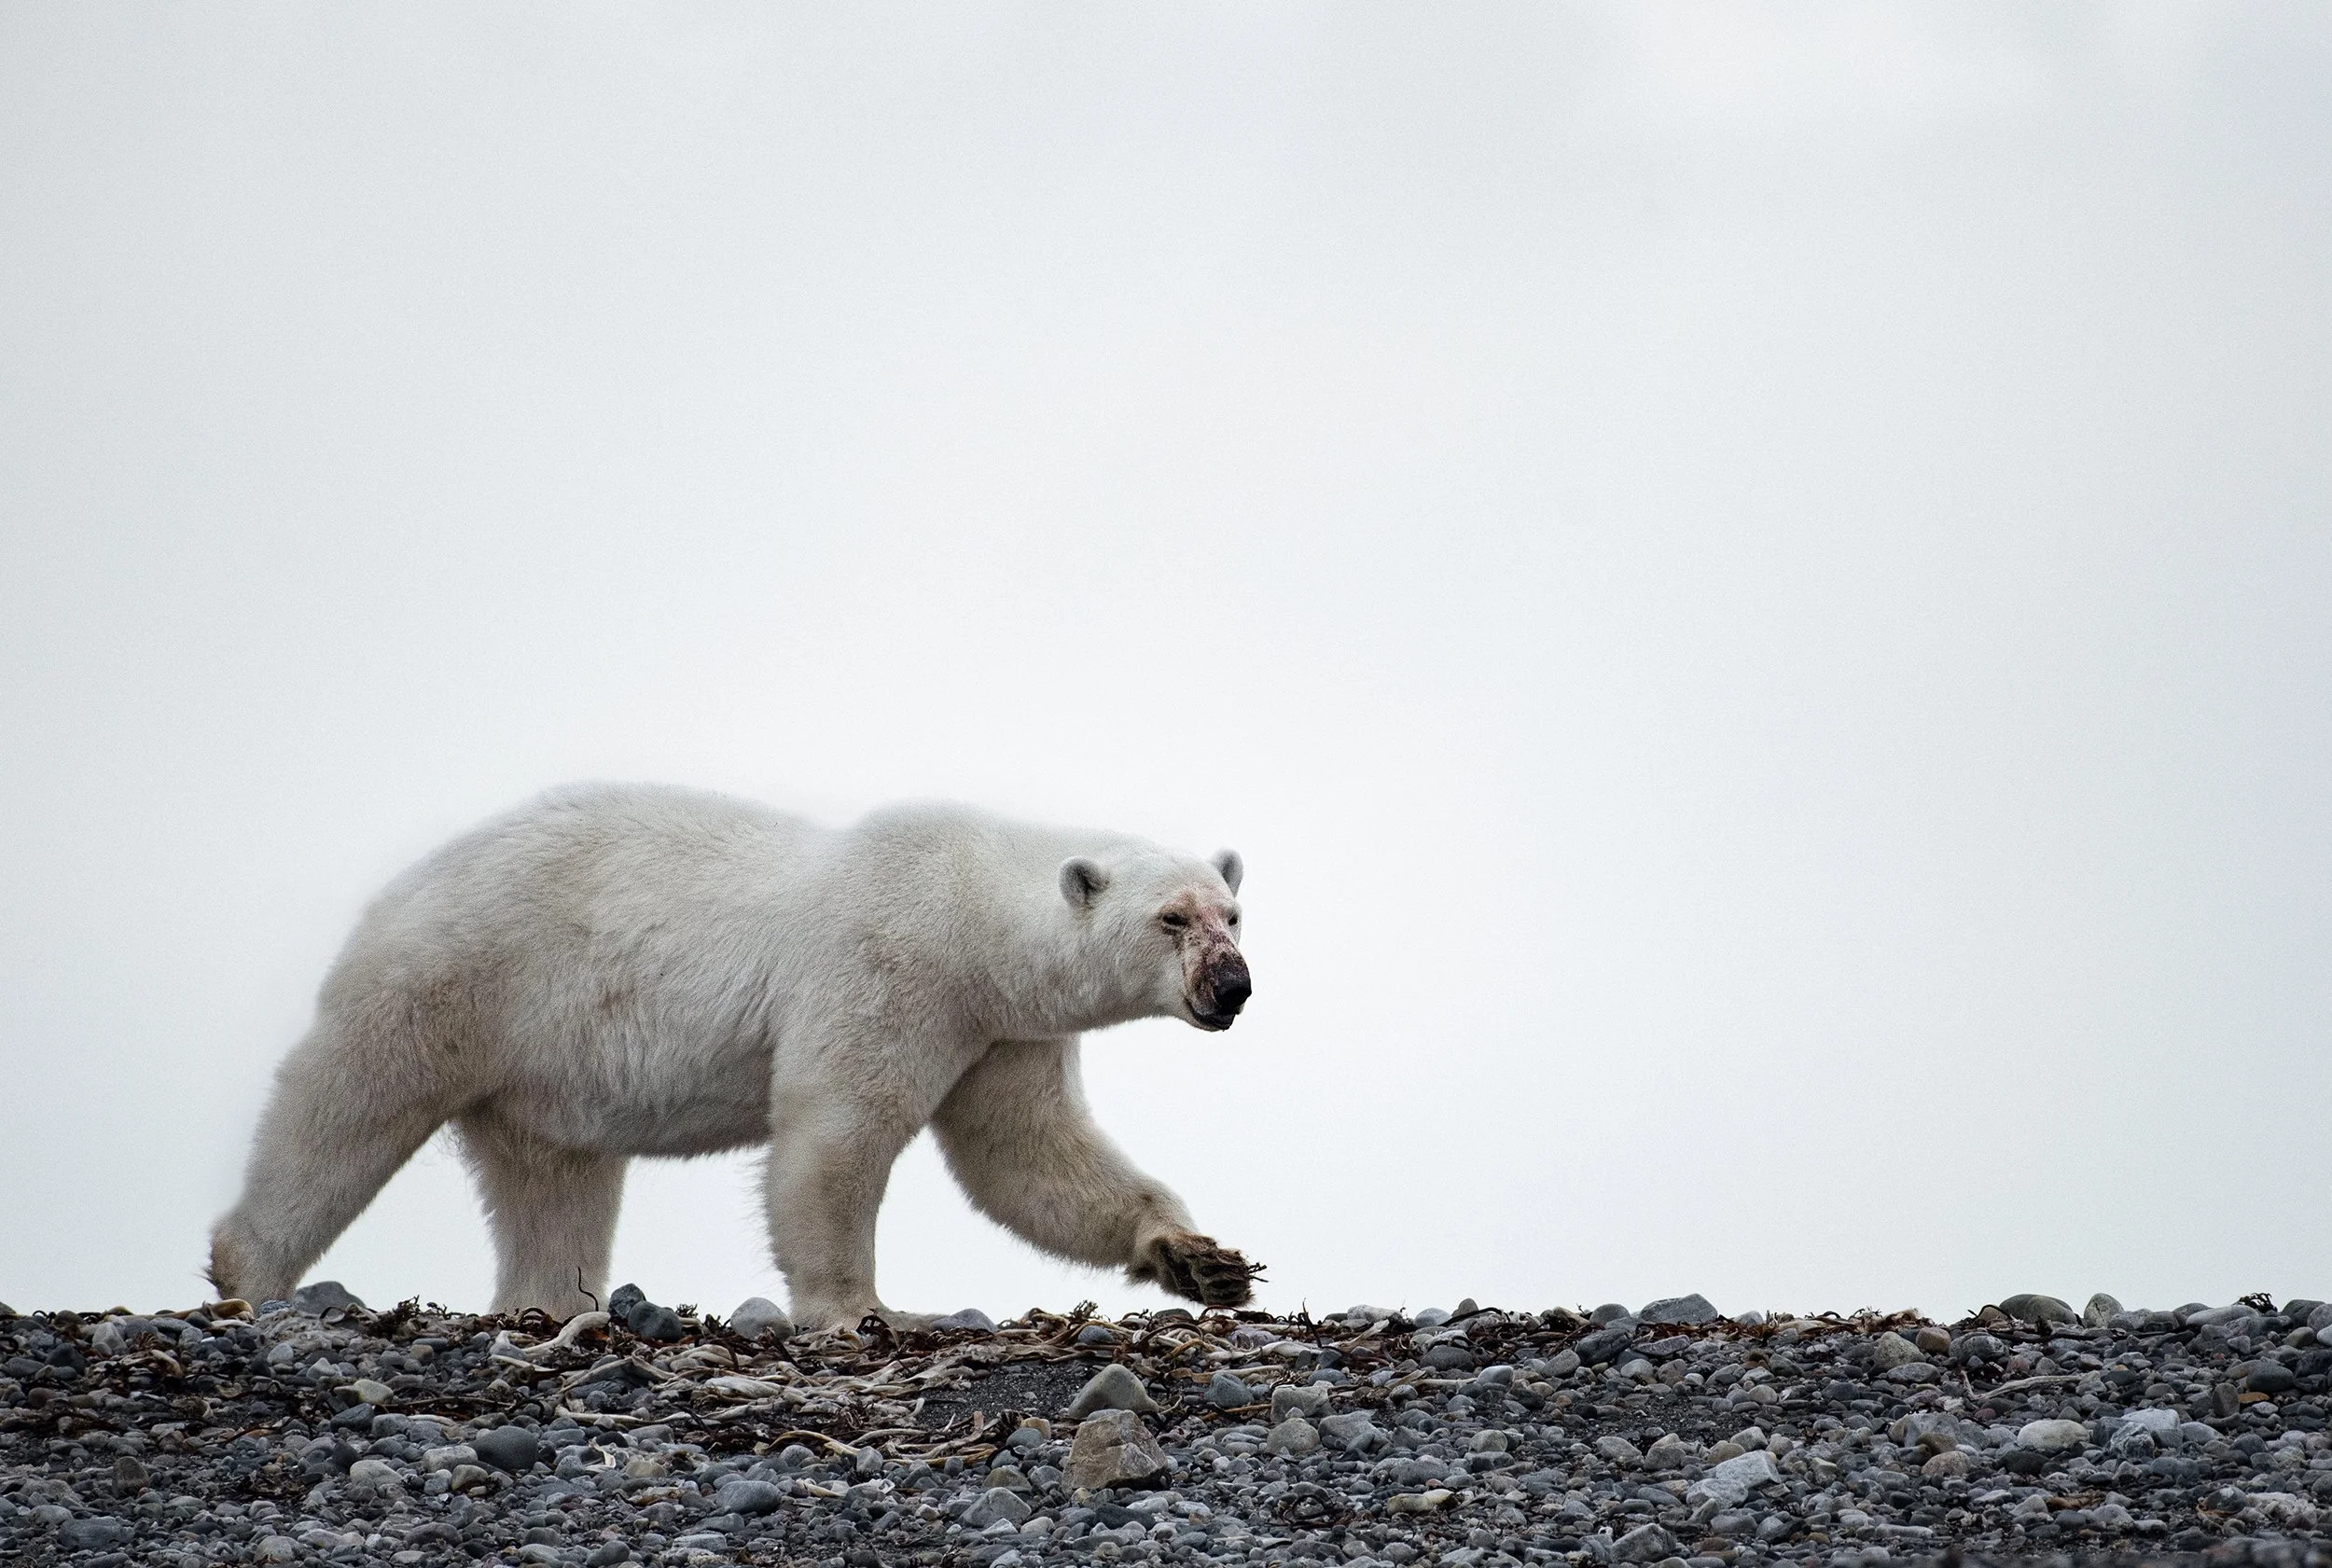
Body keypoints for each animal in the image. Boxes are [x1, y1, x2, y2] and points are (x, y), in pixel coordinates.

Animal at [207, 783, 1258, 1328]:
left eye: (1233, 912)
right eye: (1170, 919)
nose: (1233, 986)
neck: (972, 917)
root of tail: (399, 887)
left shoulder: (1000, 1031)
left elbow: (1031, 1156)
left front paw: (1200, 1260)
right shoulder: (887, 970)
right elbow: (835, 1137)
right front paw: (864, 1309)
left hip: (540, 1069)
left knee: (552, 1184)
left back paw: (551, 1304)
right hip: (454, 978)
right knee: (342, 1108)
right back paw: (244, 1268)